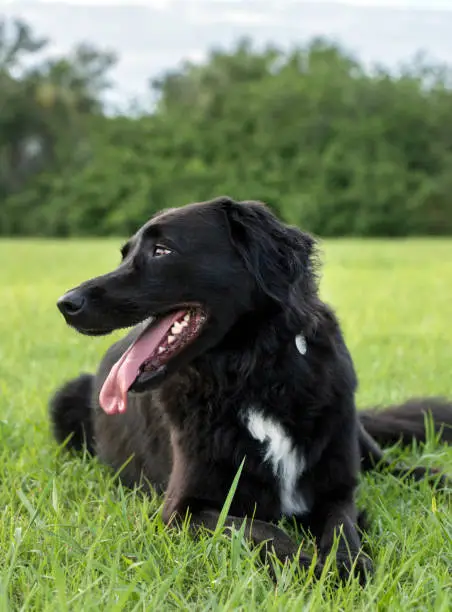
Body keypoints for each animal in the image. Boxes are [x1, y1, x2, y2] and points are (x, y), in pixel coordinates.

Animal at [50, 198, 452, 584]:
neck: (254, 377)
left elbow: (341, 528)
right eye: (126, 254)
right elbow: (263, 529)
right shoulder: (183, 510)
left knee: (404, 468)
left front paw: (346, 565)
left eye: (162, 251)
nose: (66, 303)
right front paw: (311, 567)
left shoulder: (338, 488)